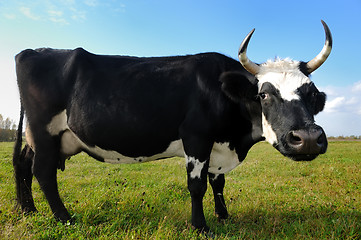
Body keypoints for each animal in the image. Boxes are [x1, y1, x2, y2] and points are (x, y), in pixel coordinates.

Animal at [11, 20, 332, 232]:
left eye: (312, 93)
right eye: (264, 94)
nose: (307, 138)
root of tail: (32, 51)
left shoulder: (217, 146)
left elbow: (218, 182)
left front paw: (223, 215)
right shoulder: (196, 137)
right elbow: (197, 185)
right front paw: (200, 226)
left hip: (43, 136)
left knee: (24, 163)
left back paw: (28, 210)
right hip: (44, 131)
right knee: (43, 171)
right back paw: (64, 218)